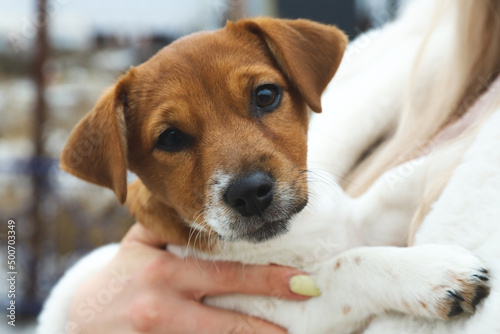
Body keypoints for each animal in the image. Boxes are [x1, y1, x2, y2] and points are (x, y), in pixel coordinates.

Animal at [57, 18, 488, 334]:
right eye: (171, 138)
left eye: (265, 95)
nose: (250, 193)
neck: (296, 237)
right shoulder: (281, 312)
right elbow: (349, 266)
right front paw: (432, 274)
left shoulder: (358, 220)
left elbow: (403, 182)